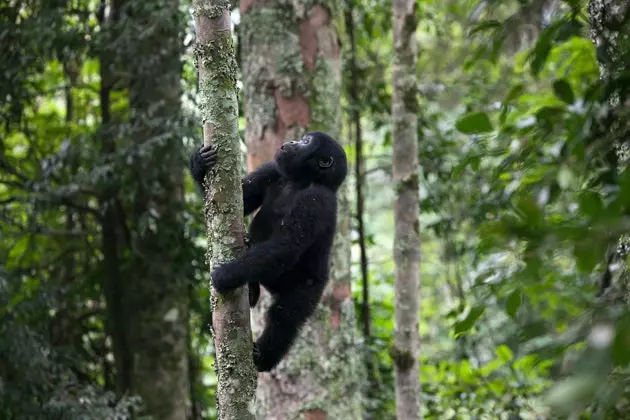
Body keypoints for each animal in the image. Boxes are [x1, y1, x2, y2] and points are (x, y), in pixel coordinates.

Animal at [191, 131, 350, 370]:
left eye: (306, 142)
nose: (292, 142)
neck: (302, 180)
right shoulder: (272, 168)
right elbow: (241, 198)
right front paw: (199, 164)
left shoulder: (316, 200)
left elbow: (287, 245)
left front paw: (225, 275)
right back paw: (252, 290)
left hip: (310, 287)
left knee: (284, 317)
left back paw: (264, 358)